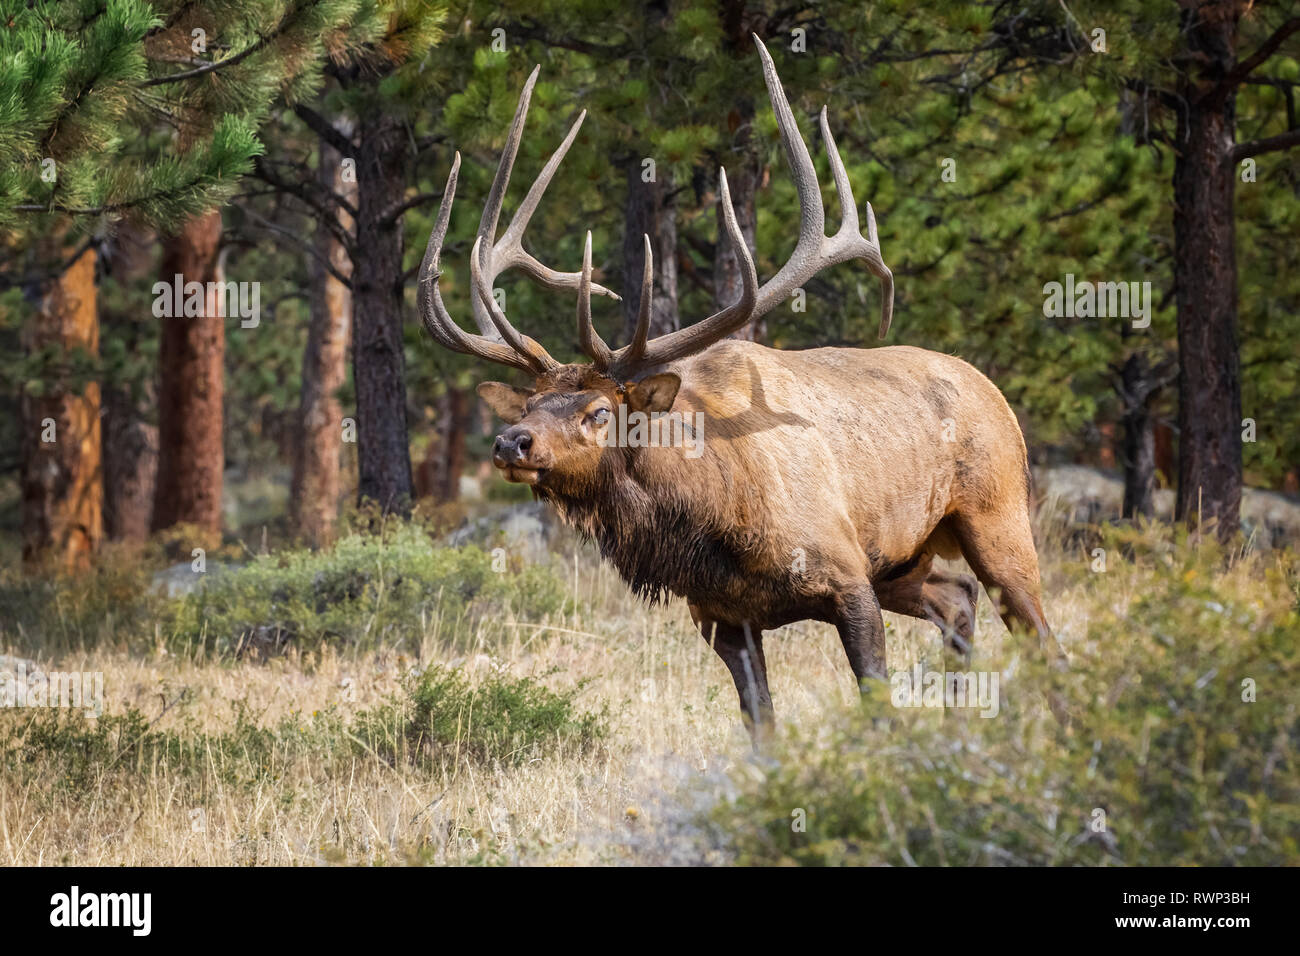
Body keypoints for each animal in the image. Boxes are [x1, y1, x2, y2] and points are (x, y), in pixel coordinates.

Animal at [418, 36, 1064, 739]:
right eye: (532, 403)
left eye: (598, 410)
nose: (512, 441)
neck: (713, 517)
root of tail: (995, 393)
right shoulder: (723, 619)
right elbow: (762, 731)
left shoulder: (846, 577)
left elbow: (876, 703)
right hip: (905, 558)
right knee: (958, 599)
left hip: (996, 514)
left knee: (1041, 635)